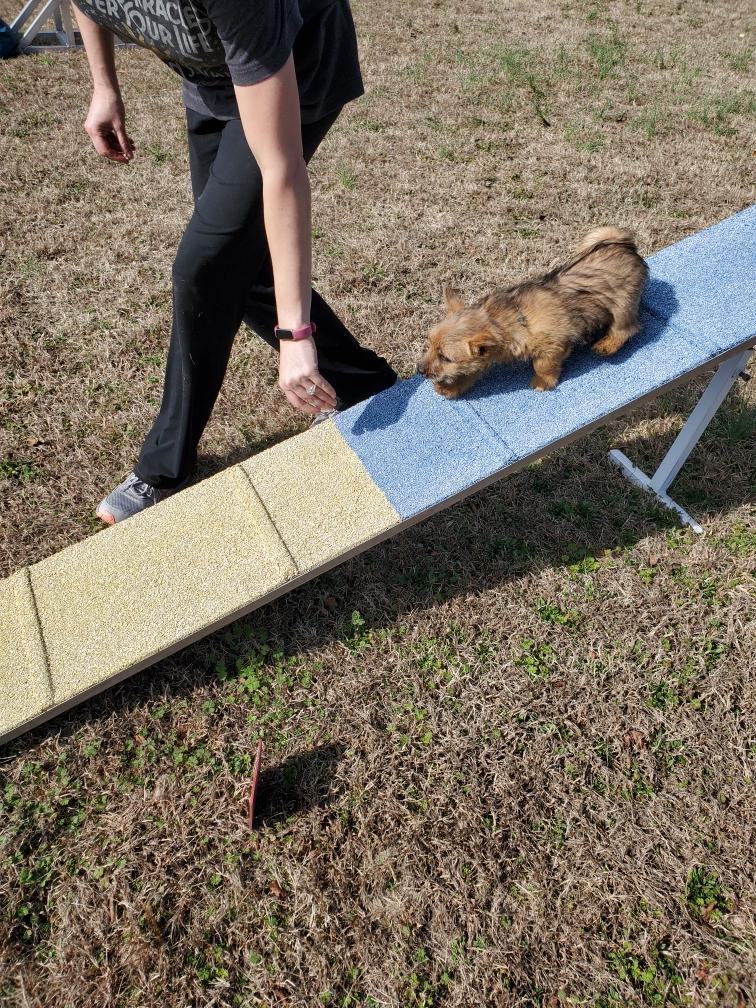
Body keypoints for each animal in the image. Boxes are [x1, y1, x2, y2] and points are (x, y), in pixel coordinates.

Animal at [418, 226, 649, 397]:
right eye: (430, 345)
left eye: (445, 357)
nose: (420, 370)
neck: (509, 321)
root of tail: (624, 245)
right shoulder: (483, 357)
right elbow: (469, 372)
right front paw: (450, 387)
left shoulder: (553, 346)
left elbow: (542, 365)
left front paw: (542, 382)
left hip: (622, 305)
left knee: (626, 328)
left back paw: (606, 345)